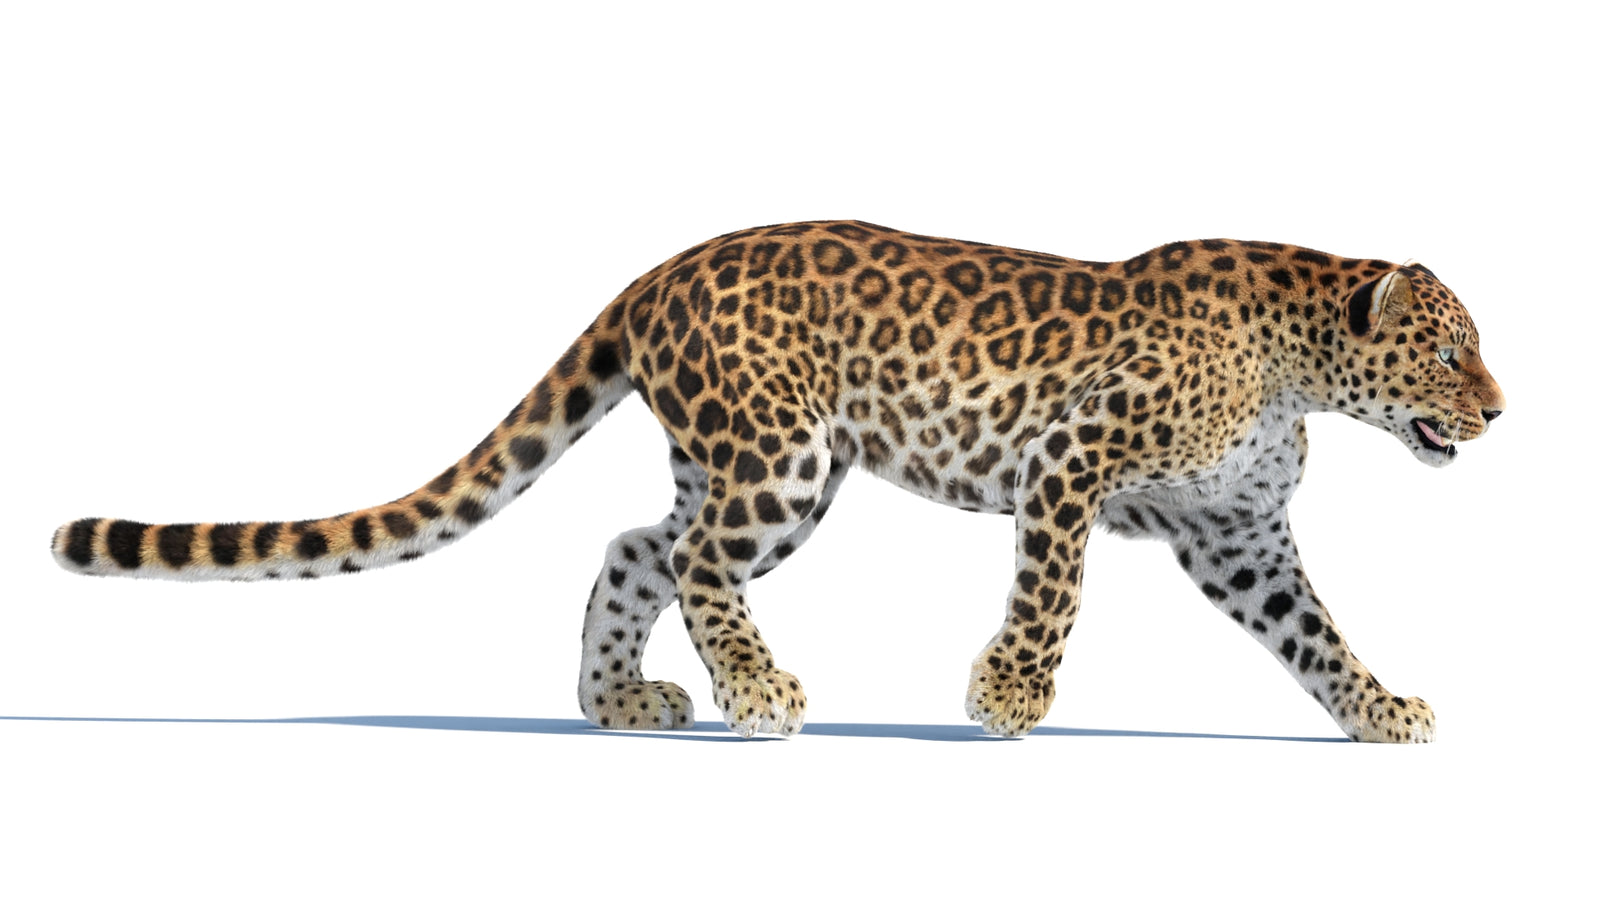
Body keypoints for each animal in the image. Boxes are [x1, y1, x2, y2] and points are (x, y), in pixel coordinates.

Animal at [52, 220, 1506, 742]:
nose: (1499, 412)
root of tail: (660, 270)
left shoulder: (1236, 534)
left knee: (636, 546)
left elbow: (1315, 634)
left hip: (756, 468)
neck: (1302, 368)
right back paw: (758, 698)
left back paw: (621, 704)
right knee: (690, 560)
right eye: (1449, 351)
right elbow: (1052, 597)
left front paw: (1381, 713)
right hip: (782, 458)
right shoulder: (1071, 461)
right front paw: (1005, 701)